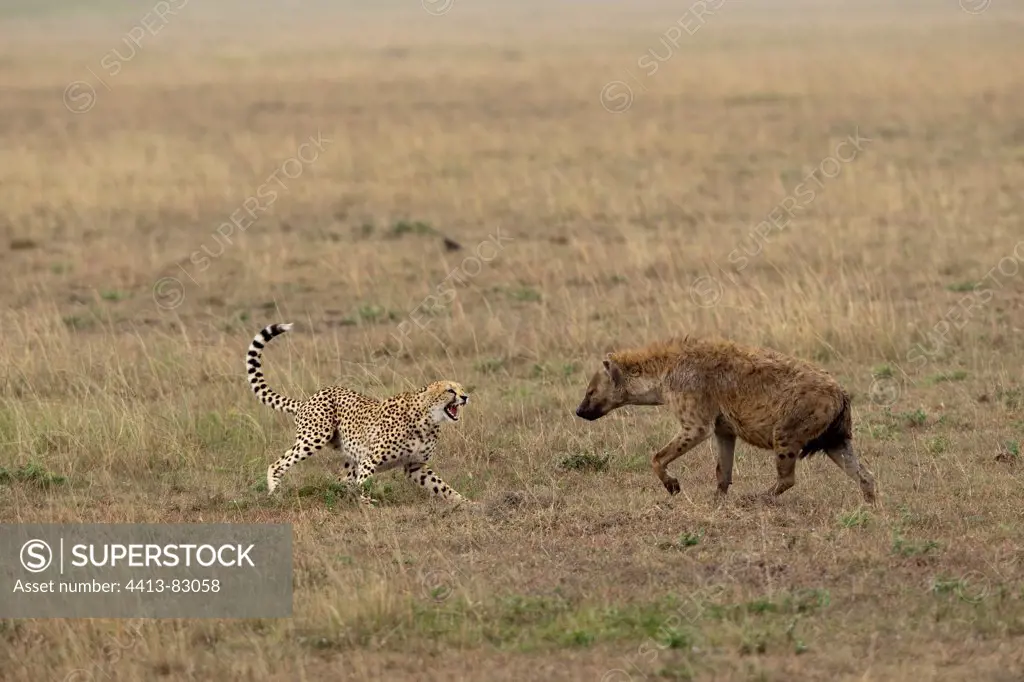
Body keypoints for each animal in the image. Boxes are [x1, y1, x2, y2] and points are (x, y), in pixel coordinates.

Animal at [247, 323, 471, 503]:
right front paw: (366, 503)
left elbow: (442, 486)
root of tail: (308, 399)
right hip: (314, 437)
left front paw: (466, 503)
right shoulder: (369, 460)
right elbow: (363, 484)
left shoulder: (415, 465)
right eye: (450, 390)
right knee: (278, 463)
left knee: (340, 480)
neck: (427, 420)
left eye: (461, 388)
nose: (465, 396)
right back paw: (274, 493)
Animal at [573, 333, 876, 499]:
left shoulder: (696, 424)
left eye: (589, 392)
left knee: (787, 477)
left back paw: (759, 497)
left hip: (789, 428)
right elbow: (722, 469)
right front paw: (717, 499)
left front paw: (673, 486)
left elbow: (657, 457)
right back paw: (871, 504)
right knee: (864, 473)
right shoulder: (723, 428)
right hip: (835, 439)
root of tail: (841, 393)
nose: (578, 411)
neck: (663, 372)